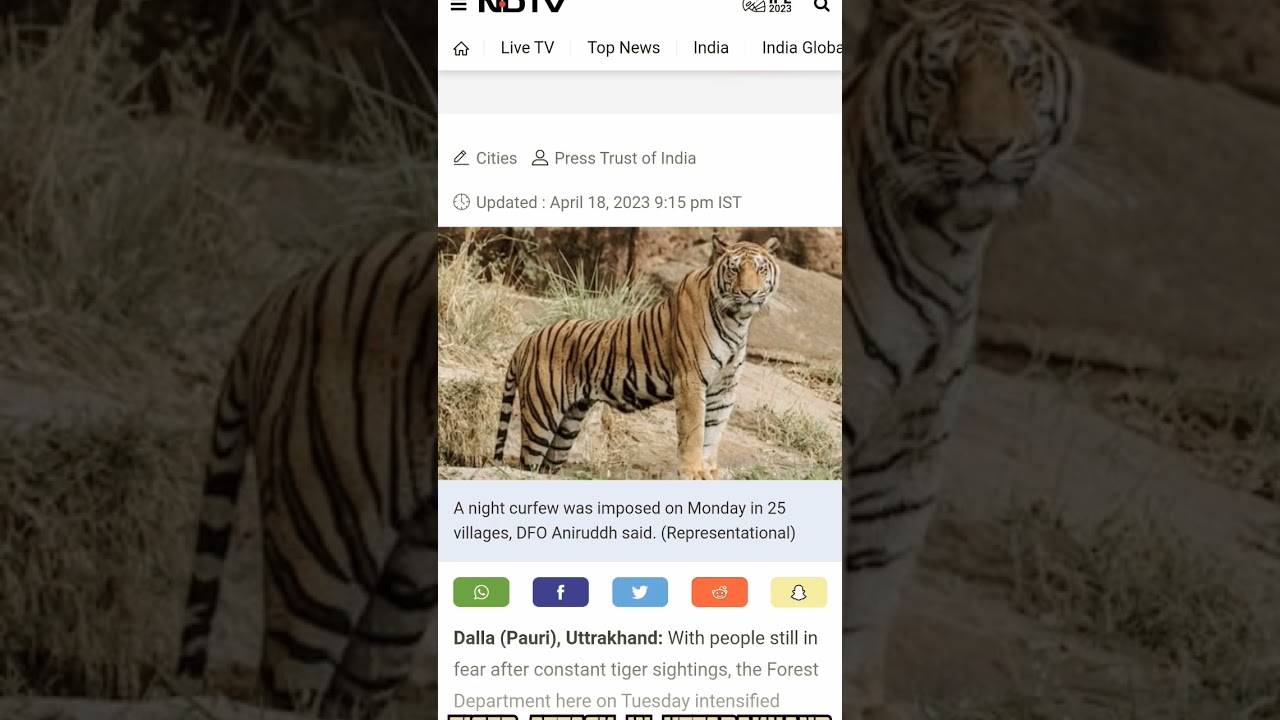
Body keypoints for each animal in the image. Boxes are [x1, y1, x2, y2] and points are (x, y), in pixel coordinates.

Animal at [492, 234, 780, 480]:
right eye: (735, 269)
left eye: (760, 269)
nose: (749, 293)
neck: (737, 320)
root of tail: (527, 339)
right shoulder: (690, 380)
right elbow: (695, 431)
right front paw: (692, 471)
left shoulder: (725, 386)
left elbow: (714, 431)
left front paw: (709, 470)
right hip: (541, 417)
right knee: (527, 463)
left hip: (567, 426)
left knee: (546, 467)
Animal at [841, 1, 1083, 717]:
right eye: (942, 76)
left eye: (1022, 74)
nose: (986, 148)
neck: (950, 244)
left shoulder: (908, 448)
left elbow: (872, 584)